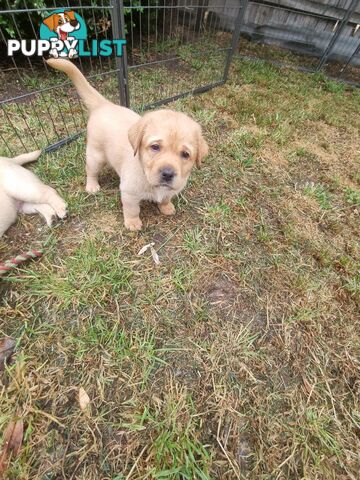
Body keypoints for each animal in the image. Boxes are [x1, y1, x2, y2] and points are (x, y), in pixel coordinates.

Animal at [45, 58, 208, 231]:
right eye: (155, 147)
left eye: (185, 154)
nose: (167, 174)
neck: (145, 173)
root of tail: (104, 104)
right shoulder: (129, 193)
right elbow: (132, 209)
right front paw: (132, 223)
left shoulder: (173, 187)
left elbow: (165, 197)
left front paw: (166, 207)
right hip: (95, 156)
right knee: (91, 170)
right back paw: (92, 186)